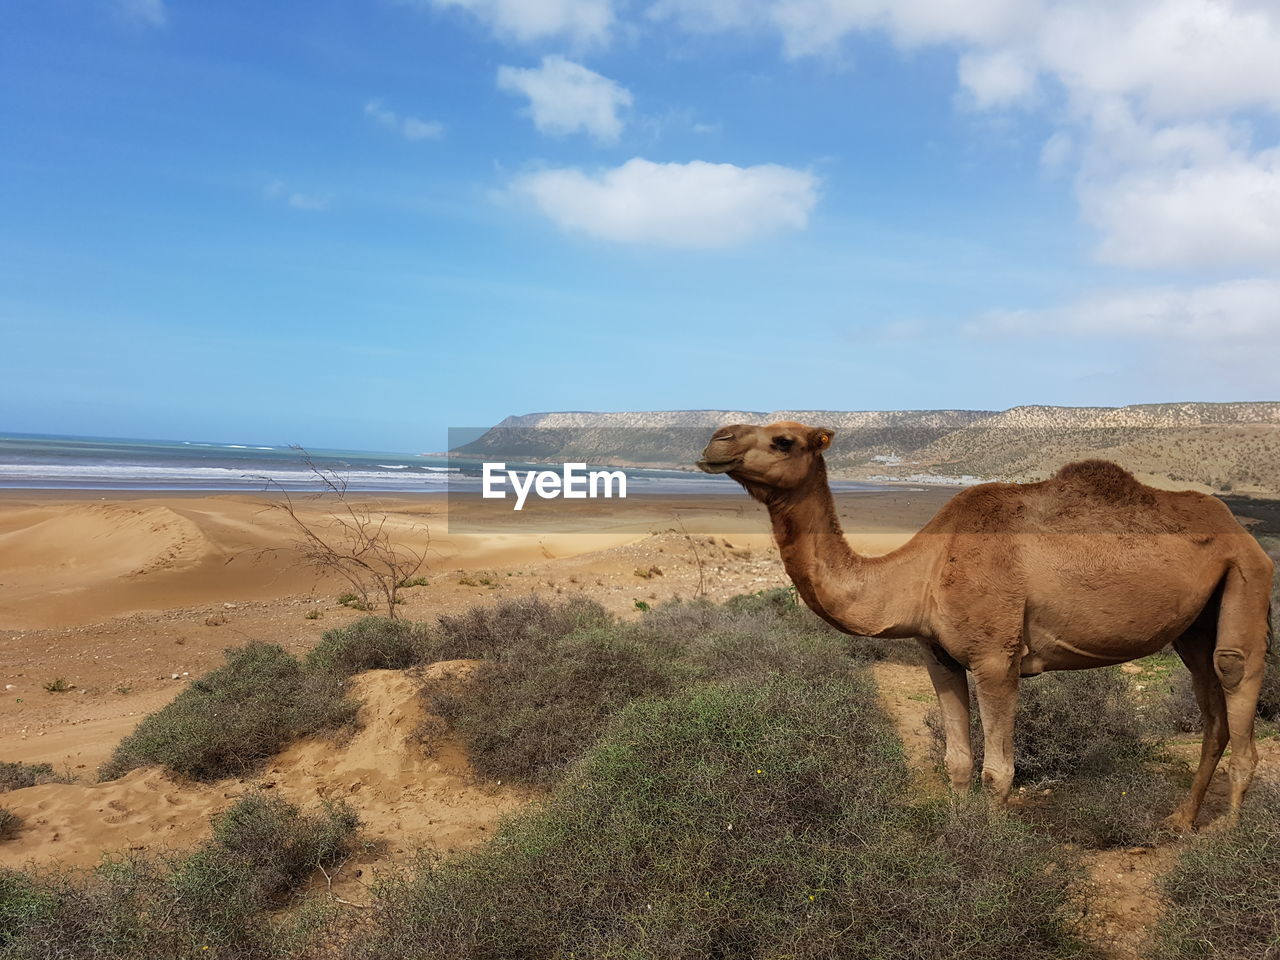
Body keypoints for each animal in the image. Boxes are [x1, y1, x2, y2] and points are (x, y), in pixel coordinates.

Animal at [701, 419, 1269, 829]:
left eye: (783, 439)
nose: (715, 438)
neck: (923, 571)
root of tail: (1241, 530)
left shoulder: (997, 658)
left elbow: (999, 771)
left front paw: (993, 856)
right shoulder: (939, 656)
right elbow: (956, 761)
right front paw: (959, 838)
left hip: (1247, 576)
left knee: (1235, 671)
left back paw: (1226, 836)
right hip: (1195, 622)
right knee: (1211, 706)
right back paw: (1182, 821)